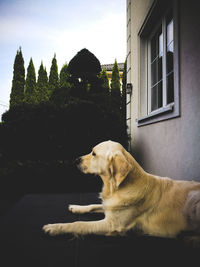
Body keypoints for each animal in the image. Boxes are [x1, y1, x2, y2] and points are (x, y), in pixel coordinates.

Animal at [42, 140, 200, 239]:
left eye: (93, 154)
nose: (76, 160)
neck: (115, 189)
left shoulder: (113, 224)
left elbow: (79, 224)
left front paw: (55, 227)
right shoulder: (110, 207)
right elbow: (94, 205)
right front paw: (76, 207)